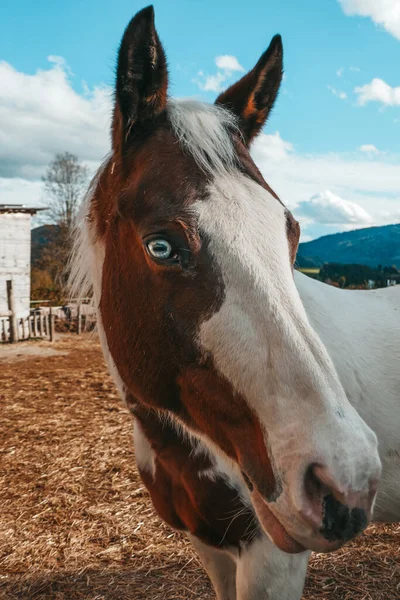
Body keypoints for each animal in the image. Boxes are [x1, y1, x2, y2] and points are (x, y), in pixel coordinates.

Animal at [69, 5, 400, 600]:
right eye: (161, 245)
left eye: (291, 232)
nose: (347, 482)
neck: (183, 446)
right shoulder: (212, 548)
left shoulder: (270, 560)